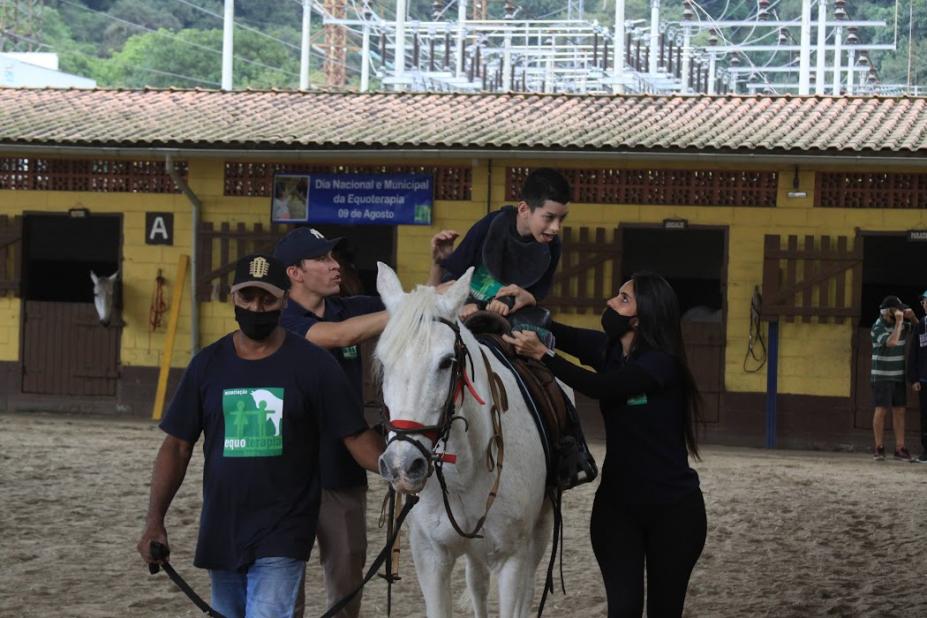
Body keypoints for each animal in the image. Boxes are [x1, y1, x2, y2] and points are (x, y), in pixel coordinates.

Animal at [376, 262, 556, 612]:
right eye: (382, 361)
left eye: (447, 362)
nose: (402, 464)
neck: (466, 472)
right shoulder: (431, 558)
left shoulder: (512, 560)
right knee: (477, 583)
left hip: (539, 530)